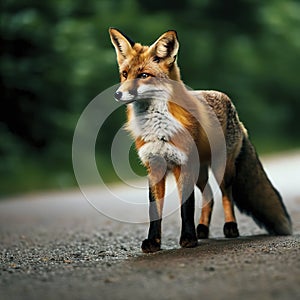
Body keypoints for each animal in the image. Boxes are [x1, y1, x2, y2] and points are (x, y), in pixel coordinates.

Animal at [109, 28, 292, 253]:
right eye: (125, 74)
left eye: (144, 75)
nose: (118, 94)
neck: (159, 128)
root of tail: (232, 106)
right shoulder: (155, 167)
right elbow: (155, 211)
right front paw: (153, 242)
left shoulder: (184, 165)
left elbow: (186, 208)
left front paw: (188, 238)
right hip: (201, 172)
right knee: (209, 196)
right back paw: (203, 229)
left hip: (222, 169)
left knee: (226, 195)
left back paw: (230, 227)